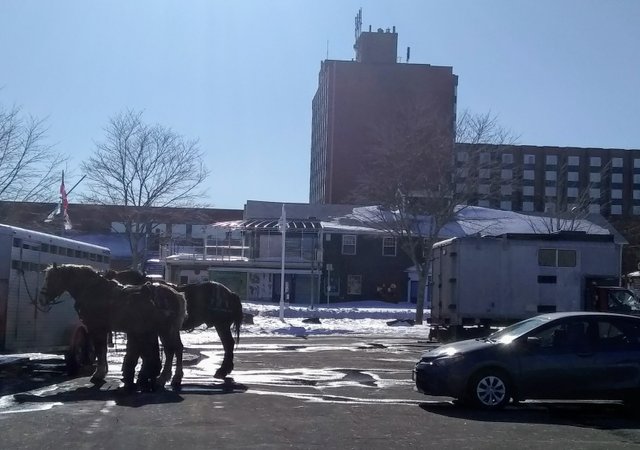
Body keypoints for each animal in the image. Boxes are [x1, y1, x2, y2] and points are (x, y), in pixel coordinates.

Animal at [40, 266, 186, 388]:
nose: (43, 298)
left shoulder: (96, 328)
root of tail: (176, 294)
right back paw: (173, 378)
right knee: (176, 348)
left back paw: (164, 379)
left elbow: (99, 349)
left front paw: (98, 374)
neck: (94, 292)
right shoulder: (104, 330)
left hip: (165, 329)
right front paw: (103, 372)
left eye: (50, 279)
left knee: (170, 350)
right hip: (170, 330)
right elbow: (103, 350)